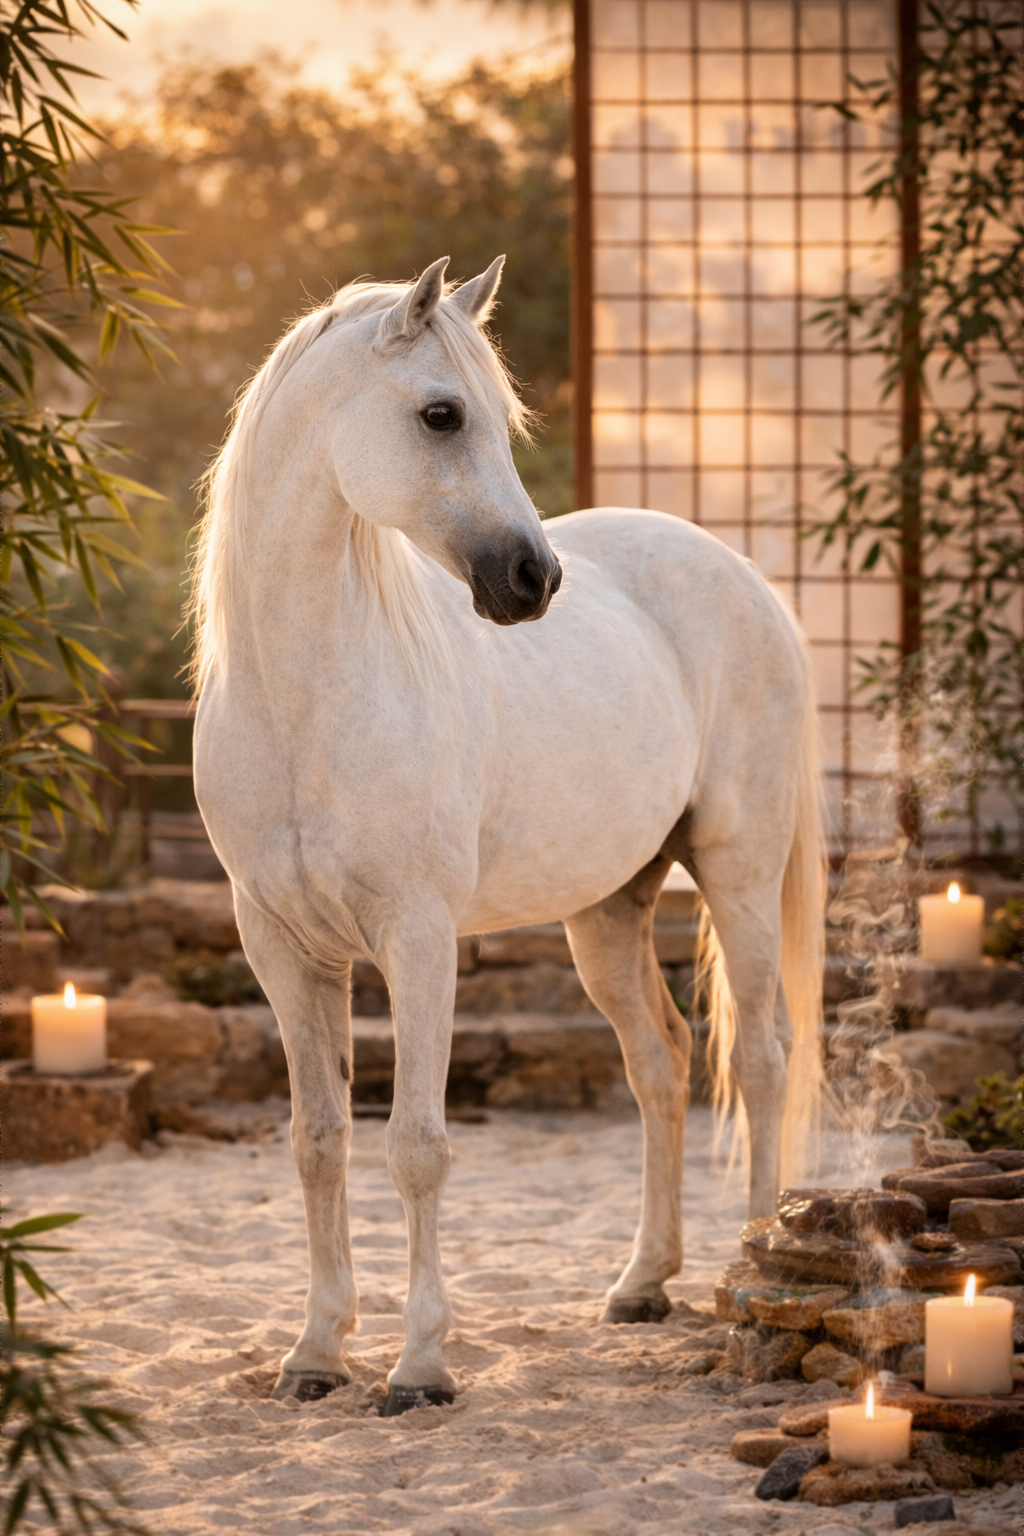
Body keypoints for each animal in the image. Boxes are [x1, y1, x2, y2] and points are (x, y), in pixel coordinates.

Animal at [191, 255, 825, 1415]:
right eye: (441, 414)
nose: (534, 581)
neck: (307, 697)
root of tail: (741, 575)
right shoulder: (283, 949)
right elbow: (317, 1142)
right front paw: (315, 1355)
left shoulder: (419, 940)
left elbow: (417, 1147)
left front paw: (419, 1369)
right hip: (606, 913)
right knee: (660, 1064)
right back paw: (642, 1284)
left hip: (740, 875)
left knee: (758, 1058)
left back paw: (752, 1270)